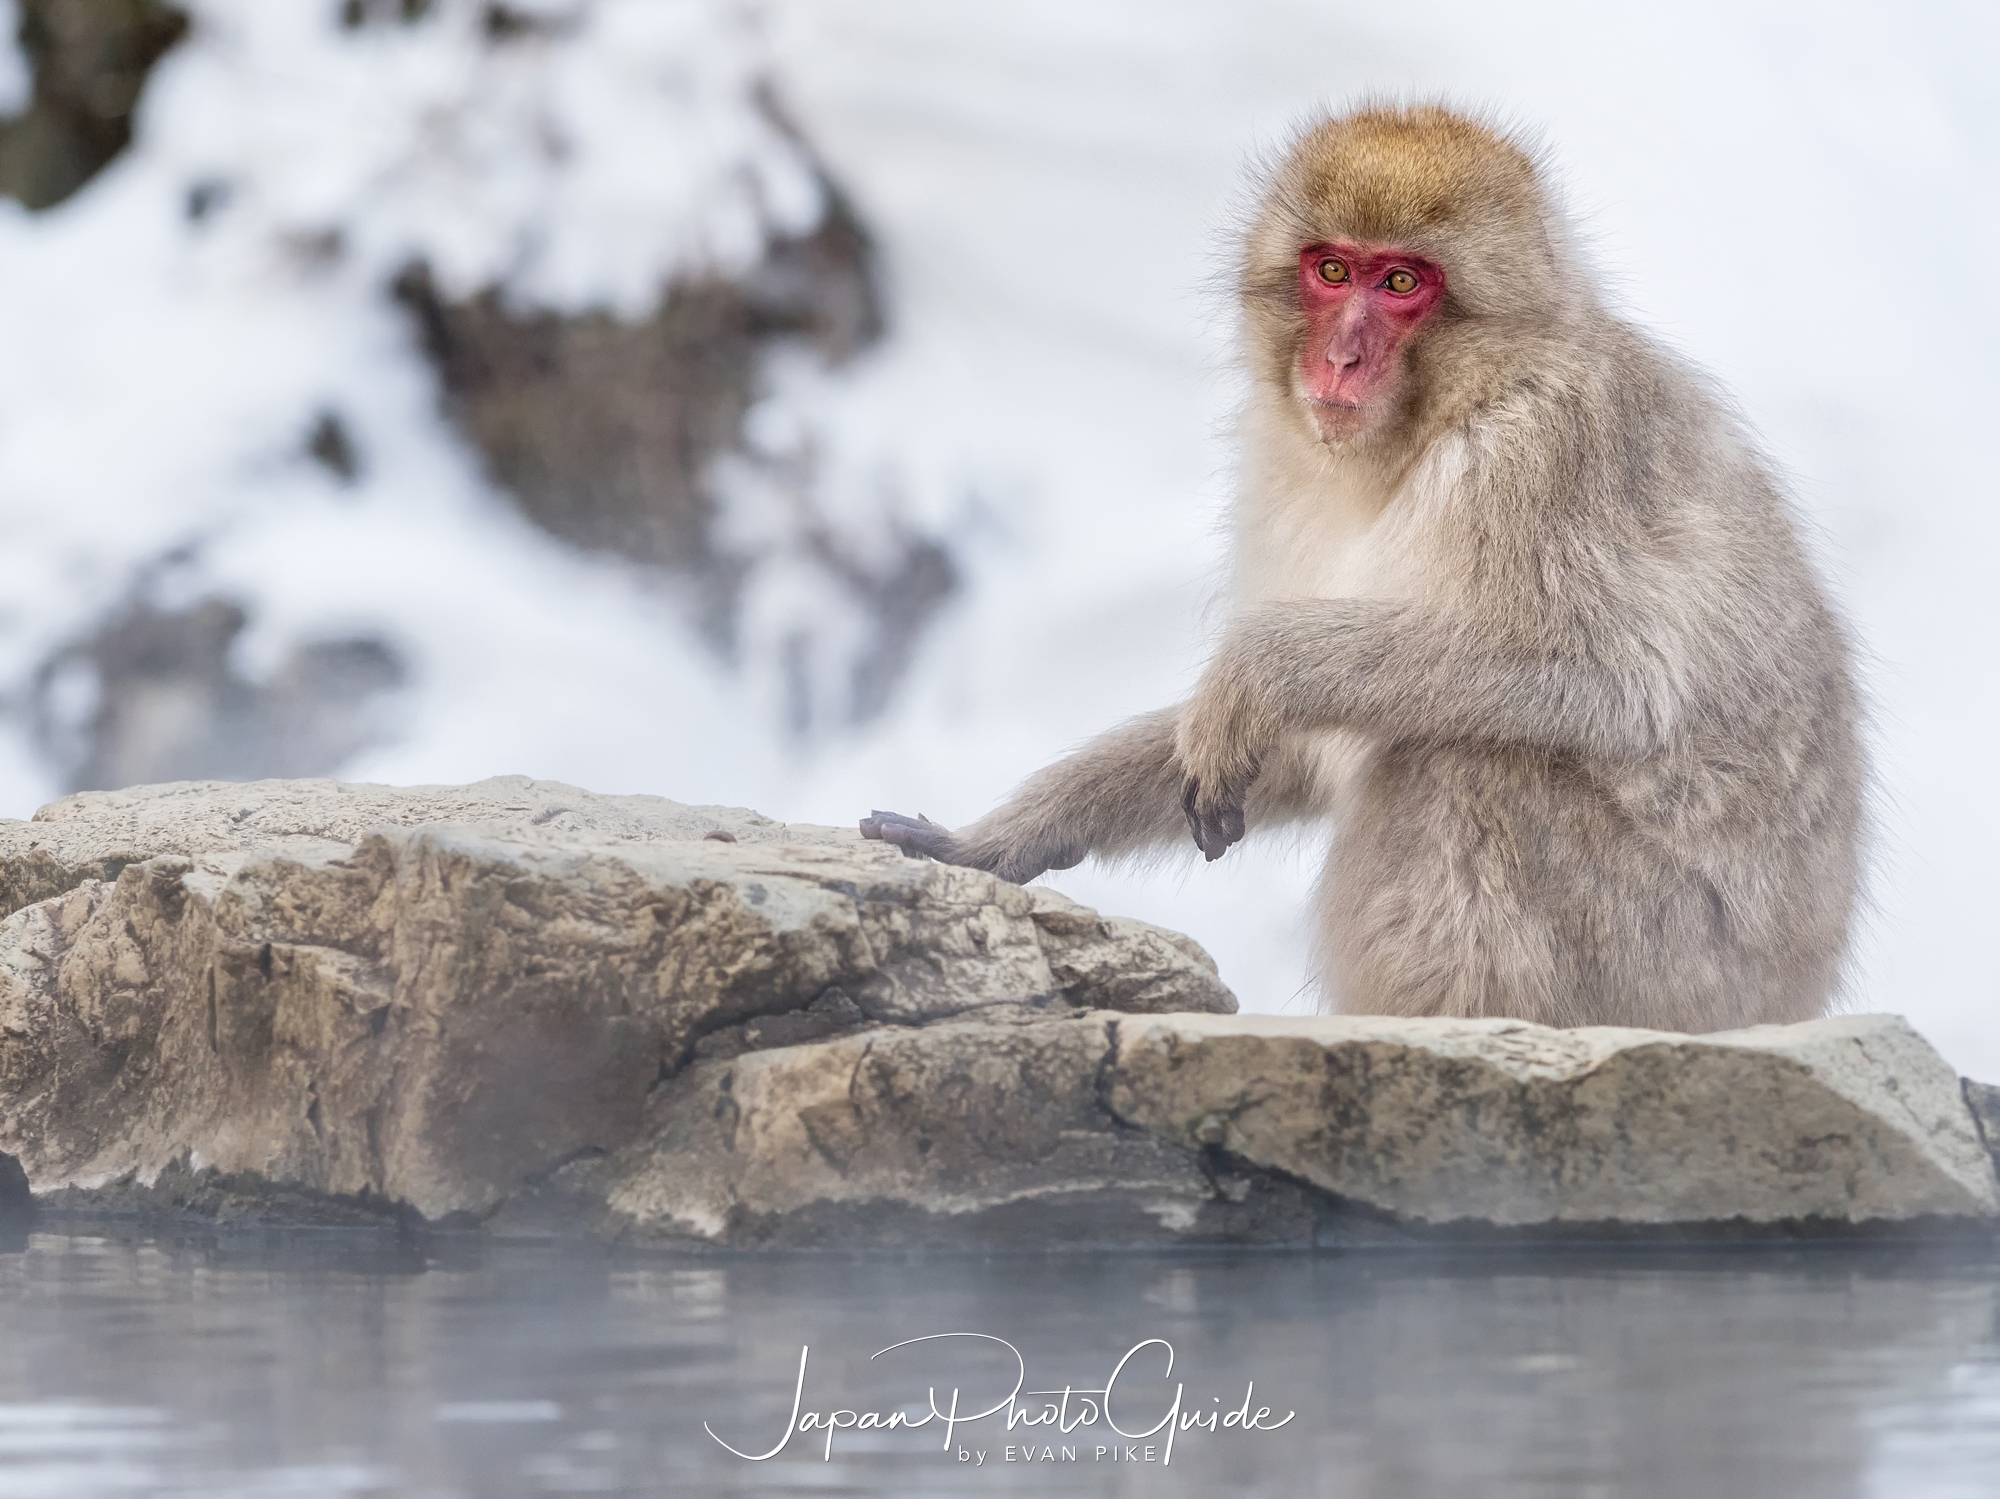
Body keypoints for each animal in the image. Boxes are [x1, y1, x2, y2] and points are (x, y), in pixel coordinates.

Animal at [856, 103, 1856, 1032]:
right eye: (1332, 270)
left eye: (1403, 282)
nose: (1341, 357)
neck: (1436, 419)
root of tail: (1790, 997)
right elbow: (1290, 751)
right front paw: (1003, 841)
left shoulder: (1542, 452)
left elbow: (1610, 678)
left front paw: (1254, 671)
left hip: (1667, 961)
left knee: (1461, 760)